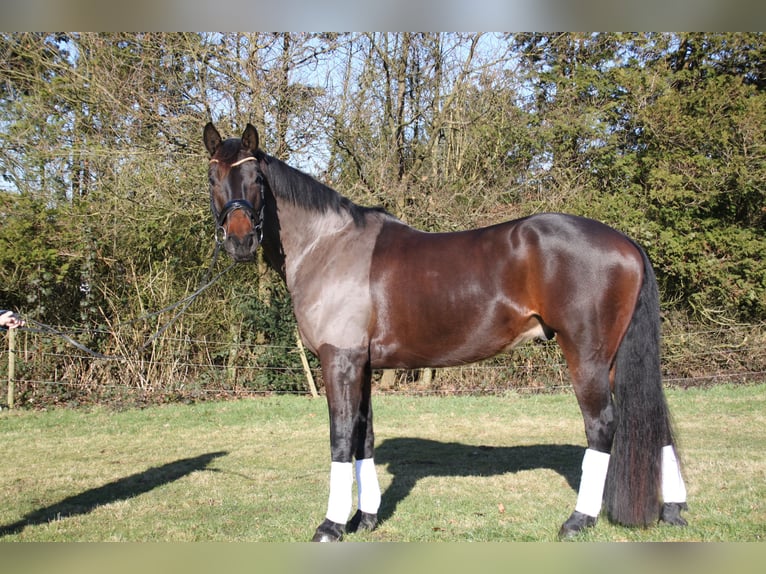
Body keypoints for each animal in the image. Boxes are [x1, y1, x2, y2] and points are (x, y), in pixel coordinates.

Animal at [202, 124, 688, 544]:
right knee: (657, 422)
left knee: (602, 425)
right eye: (213, 177)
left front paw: (332, 525)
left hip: (587, 356)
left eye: (256, 178)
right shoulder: (362, 365)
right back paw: (674, 510)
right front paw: (366, 518)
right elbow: (364, 437)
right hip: (614, 360)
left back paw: (578, 520)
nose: (240, 242)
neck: (329, 246)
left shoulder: (338, 361)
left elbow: (341, 439)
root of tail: (625, 242)